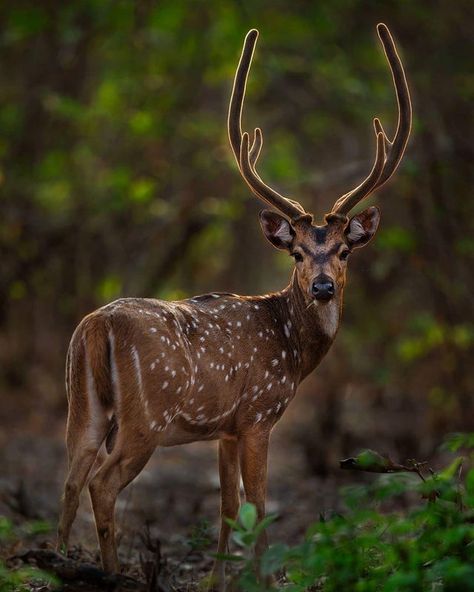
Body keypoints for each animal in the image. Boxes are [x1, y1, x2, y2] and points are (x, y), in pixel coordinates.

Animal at [56, 23, 412, 588]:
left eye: (344, 249)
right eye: (295, 251)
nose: (323, 287)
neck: (293, 348)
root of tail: (96, 328)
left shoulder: (224, 427)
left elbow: (226, 506)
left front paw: (216, 580)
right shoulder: (258, 414)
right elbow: (259, 505)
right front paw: (264, 577)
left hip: (83, 405)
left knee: (69, 480)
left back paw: (61, 562)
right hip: (145, 417)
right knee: (102, 483)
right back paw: (111, 572)